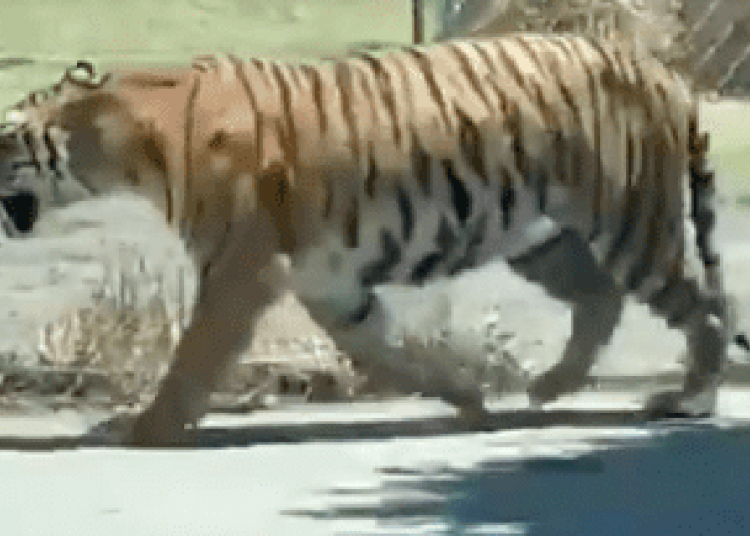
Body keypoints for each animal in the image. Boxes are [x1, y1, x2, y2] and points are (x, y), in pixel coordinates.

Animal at [0, 33, 732, 446]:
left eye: (3, 136)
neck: (123, 143)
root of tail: (663, 72)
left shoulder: (238, 272)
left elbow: (190, 360)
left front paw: (141, 429)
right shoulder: (329, 283)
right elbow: (390, 350)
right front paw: (468, 400)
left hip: (630, 225)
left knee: (705, 308)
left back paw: (688, 400)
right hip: (541, 239)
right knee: (601, 299)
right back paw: (549, 388)